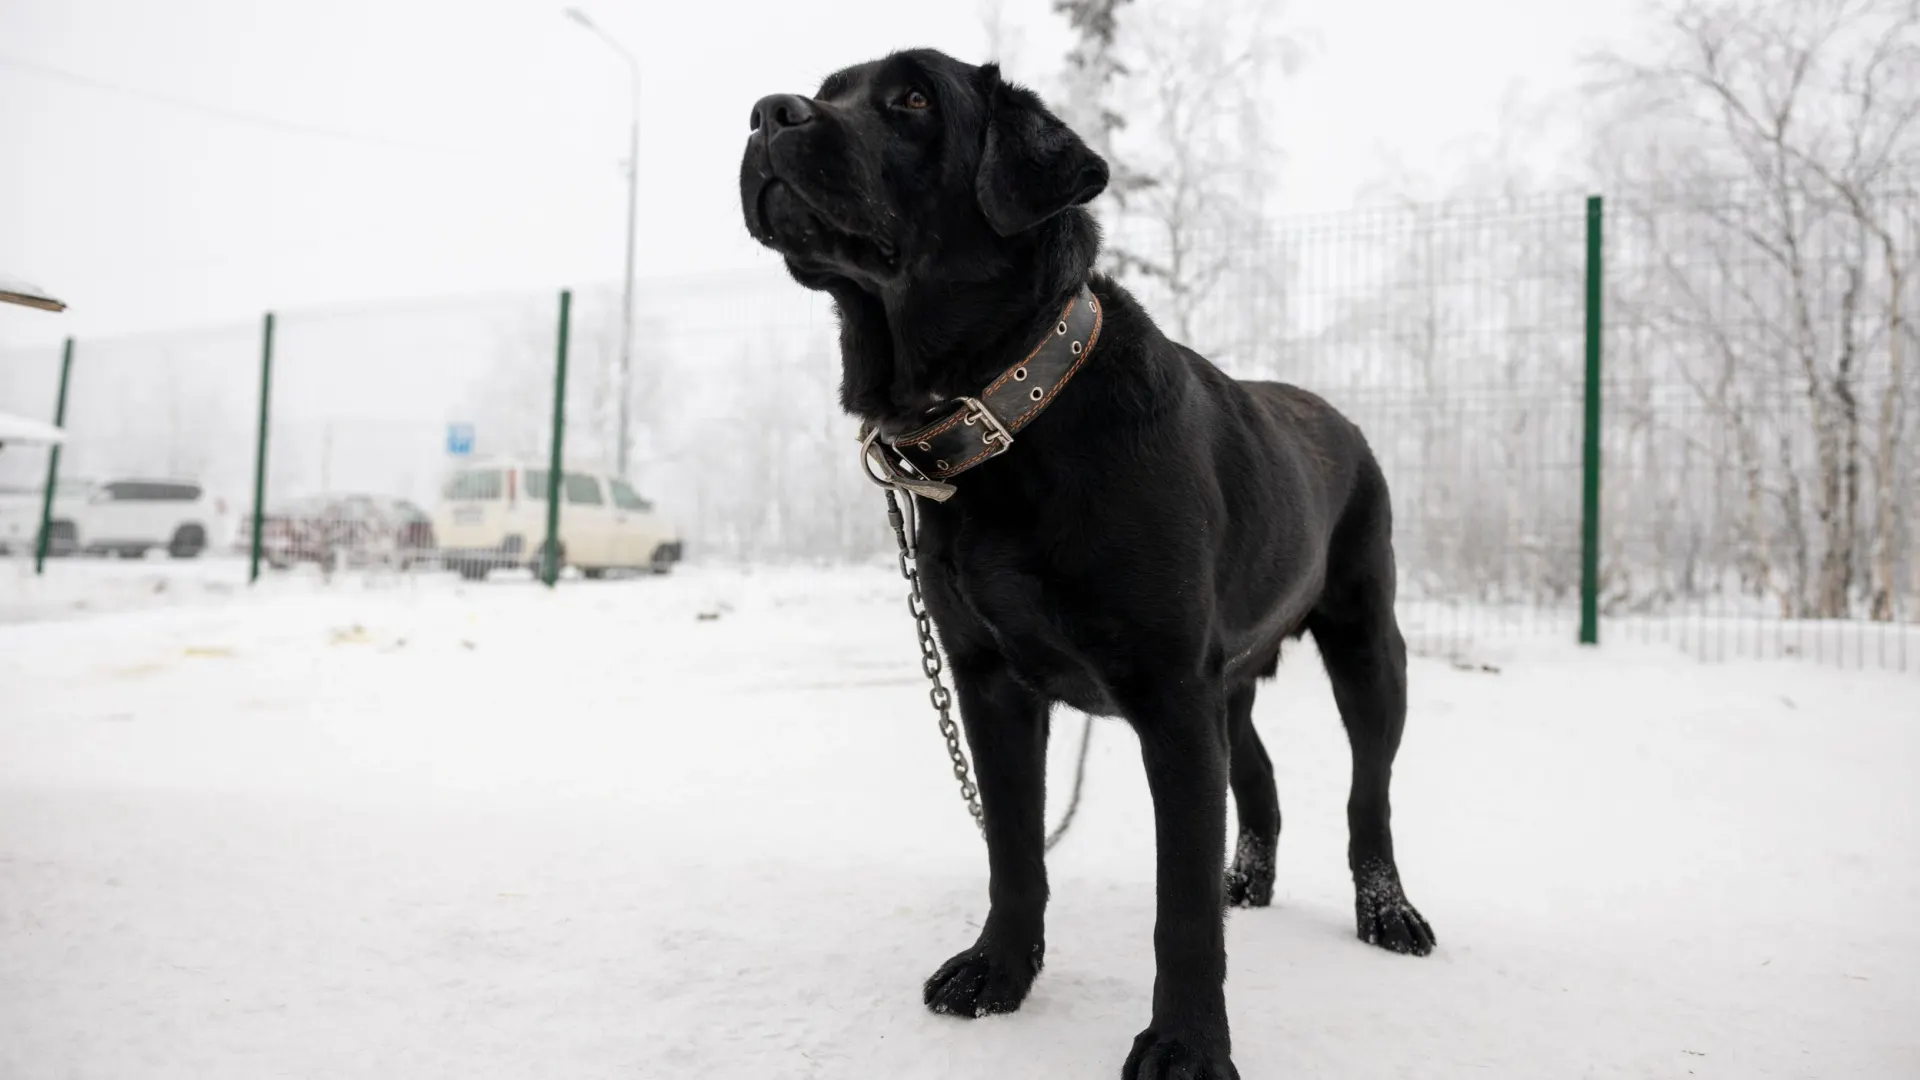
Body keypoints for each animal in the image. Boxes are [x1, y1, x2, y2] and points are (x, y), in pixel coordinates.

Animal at [741, 50, 1436, 1076]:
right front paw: (998, 972)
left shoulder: (1170, 695)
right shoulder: (992, 682)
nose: (767, 113)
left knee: (1369, 798)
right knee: (1259, 776)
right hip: (1232, 682)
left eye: (912, 98)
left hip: (1366, 646)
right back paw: (1249, 877)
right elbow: (1015, 850)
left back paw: (1388, 913)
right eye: (830, 90)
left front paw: (1186, 1045)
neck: (1008, 410)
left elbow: (1178, 905)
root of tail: (1341, 419)